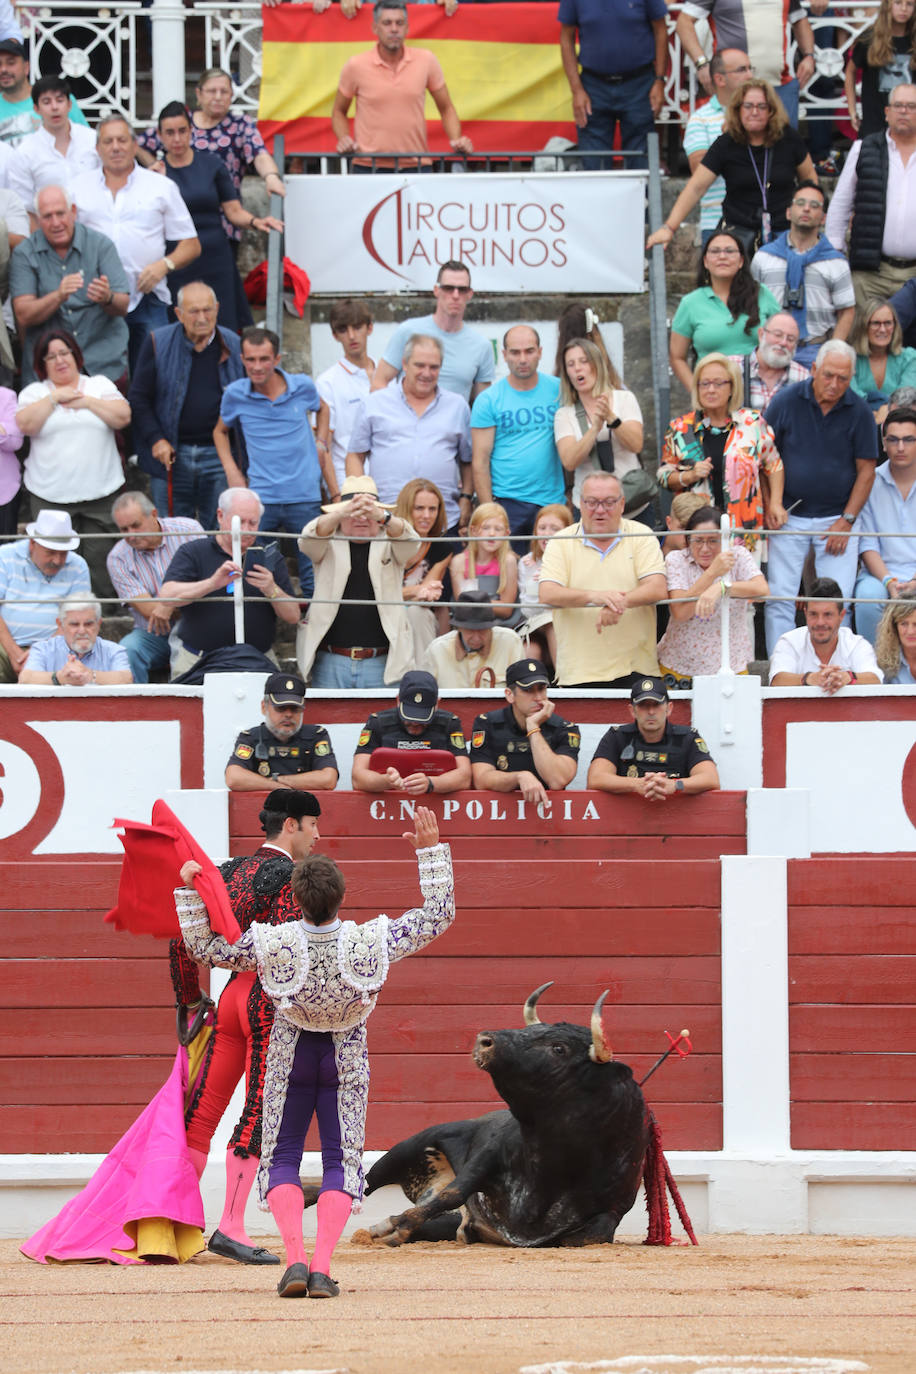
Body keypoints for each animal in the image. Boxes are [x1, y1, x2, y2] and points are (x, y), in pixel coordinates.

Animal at [357, 983, 650, 1253]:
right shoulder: (487, 1157)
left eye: (559, 1048)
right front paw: (394, 1226)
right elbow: (452, 1193)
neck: (555, 1158)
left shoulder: (612, 1211)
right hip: (405, 1149)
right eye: (532, 1031)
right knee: (368, 1182)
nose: (484, 1040)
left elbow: (588, 1236)